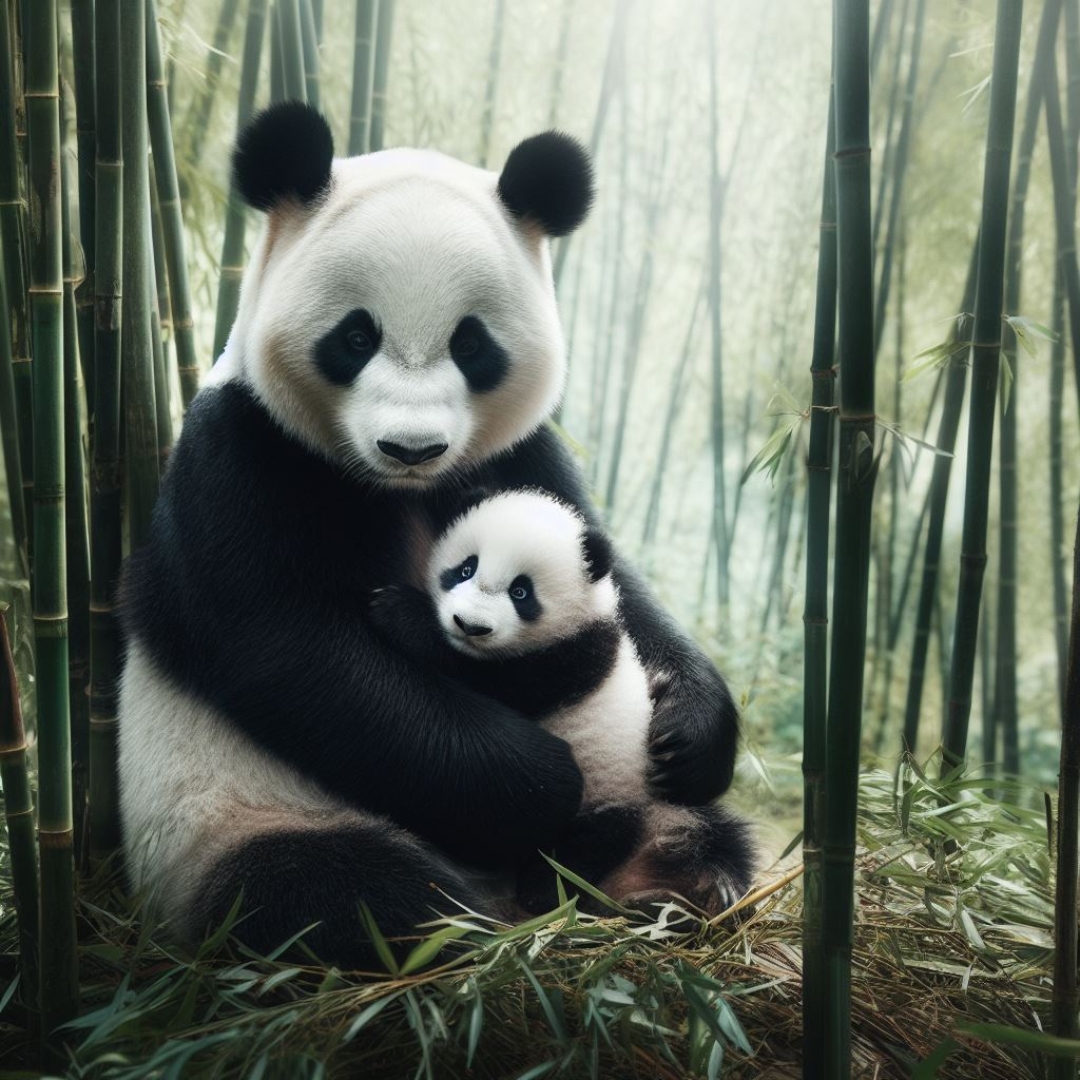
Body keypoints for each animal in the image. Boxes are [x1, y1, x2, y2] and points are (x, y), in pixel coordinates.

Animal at [368, 489, 754, 917]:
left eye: (521, 592)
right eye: (466, 568)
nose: (470, 625)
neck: (586, 611)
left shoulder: (573, 658)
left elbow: (493, 677)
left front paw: (402, 613)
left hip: (610, 793)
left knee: (591, 843)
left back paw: (545, 889)